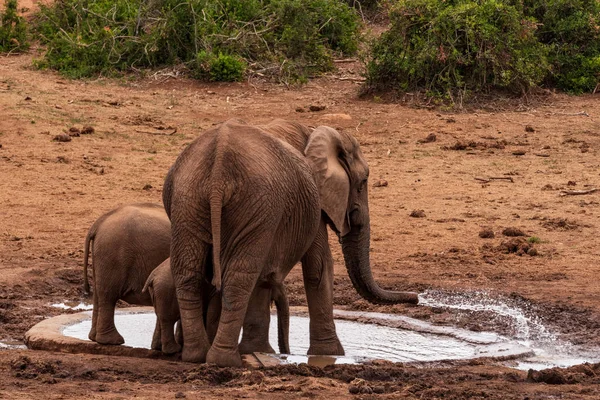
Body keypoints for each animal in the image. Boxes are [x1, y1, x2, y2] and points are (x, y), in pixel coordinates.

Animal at [83, 205, 170, 346]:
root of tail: (98, 223)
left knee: (98, 294)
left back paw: (94, 338)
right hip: (113, 254)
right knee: (108, 295)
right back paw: (113, 341)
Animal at [143, 260, 288, 356]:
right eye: (273, 285)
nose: (286, 354)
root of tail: (151, 277)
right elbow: (213, 315)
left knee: (162, 318)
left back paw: (162, 348)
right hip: (165, 291)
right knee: (167, 320)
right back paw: (174, 350)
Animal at [162, 118, 420, 366]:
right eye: (363, 182)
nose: (416, 298)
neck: (316, 131)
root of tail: (218, 165)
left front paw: (260, 351)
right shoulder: (315, 199)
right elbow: (319, 266)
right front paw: (331, 354)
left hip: (188, 199)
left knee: (188, 273)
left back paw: (195, 355)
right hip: (256, 203)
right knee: (239, 277)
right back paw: (224, 360)